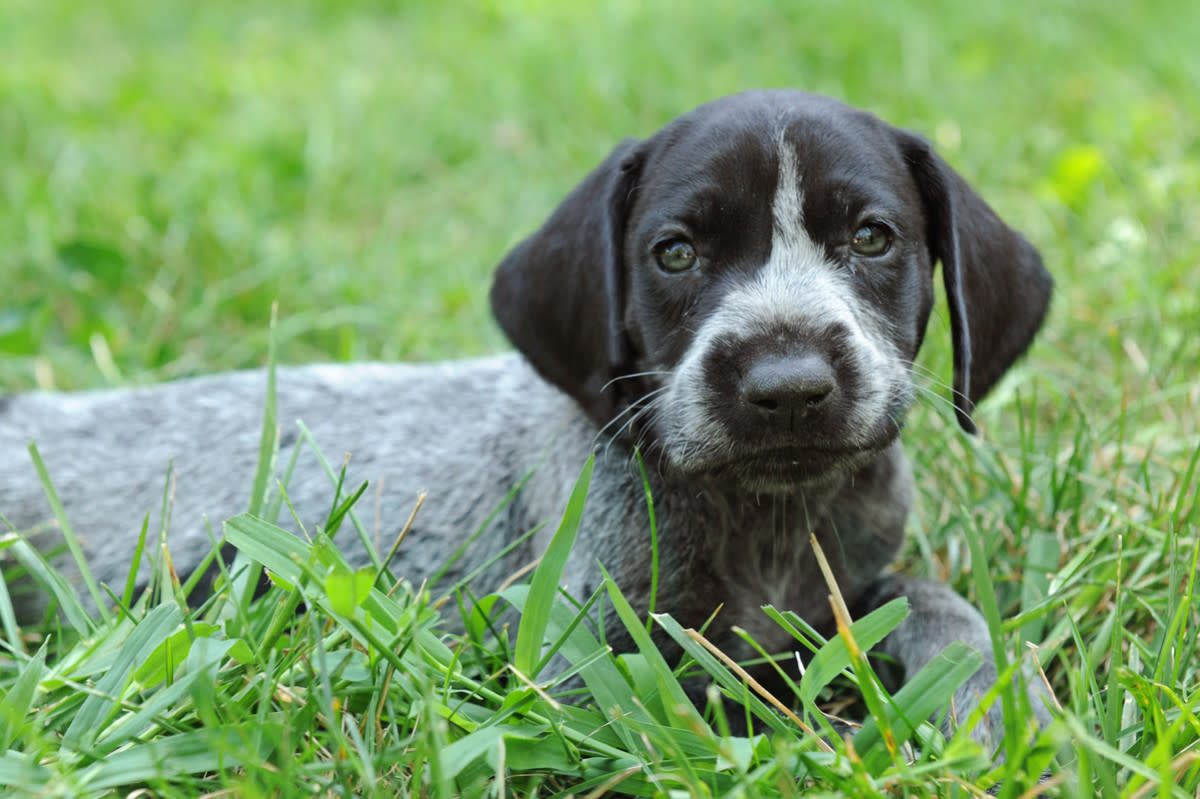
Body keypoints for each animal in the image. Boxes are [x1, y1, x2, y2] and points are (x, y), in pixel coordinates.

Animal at [0, 89, 1051, 743]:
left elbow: (929, 595)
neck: (765, 519)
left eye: (872, 238)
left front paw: (997, 691)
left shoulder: (851, 575)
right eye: (675, 252)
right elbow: (719, 690)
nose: (787, 386)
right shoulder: (587, 664)